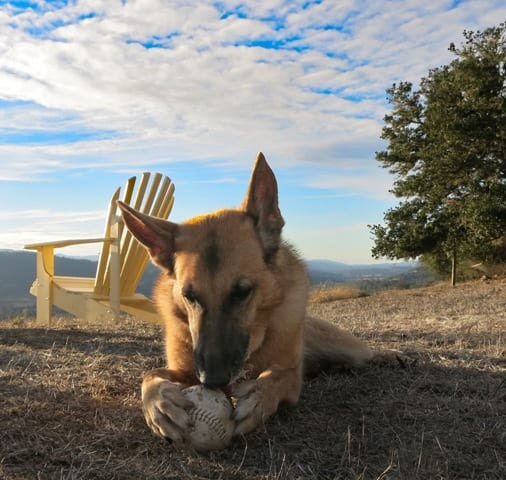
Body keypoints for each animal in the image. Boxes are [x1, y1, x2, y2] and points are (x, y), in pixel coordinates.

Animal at [119, 153, 396, 442]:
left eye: (242, 291)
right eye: (189, 296)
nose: (212, 381)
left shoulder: (291, 375)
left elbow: (277, 377)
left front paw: (259, 396)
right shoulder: (184, 370)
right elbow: (150, 374)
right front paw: (159, 404)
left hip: (342, 345)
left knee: (363, 352)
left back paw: (388, 354)